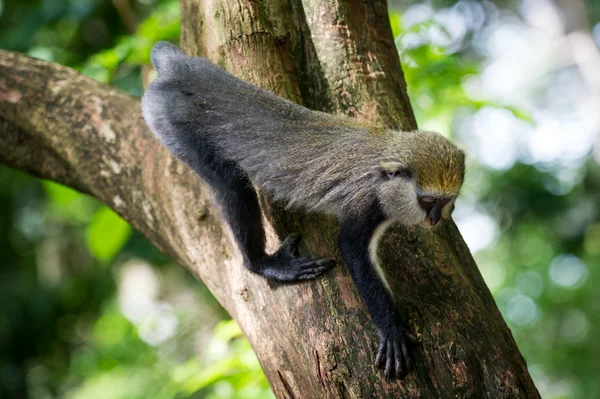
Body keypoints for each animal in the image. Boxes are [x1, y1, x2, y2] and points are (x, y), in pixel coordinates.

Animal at [141, 42, 464, 380]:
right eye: (427, 202)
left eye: (445, 201)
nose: (434, 219)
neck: (385, 158)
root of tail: (178, 68)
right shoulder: (367, 206)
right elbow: (351, 248)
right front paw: (392, 330)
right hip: (170, 121)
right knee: (232, 185)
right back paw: (263, 263)